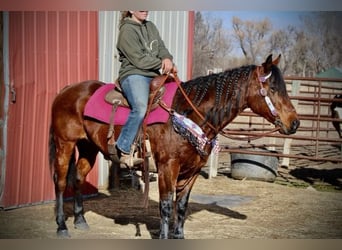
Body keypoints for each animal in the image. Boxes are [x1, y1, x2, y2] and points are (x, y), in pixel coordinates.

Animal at [48, 53, 300, 238]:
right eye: (273, 89)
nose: (295, 123)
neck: (187, 113)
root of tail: (67, 90)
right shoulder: (168, 167)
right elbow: (166, 205)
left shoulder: (193, 169)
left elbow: (181, 205)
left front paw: (179, 236)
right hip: (64, 144)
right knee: (60, 182)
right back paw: (61, 226)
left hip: (88, 147)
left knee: (78, 178)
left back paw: (80, 220)